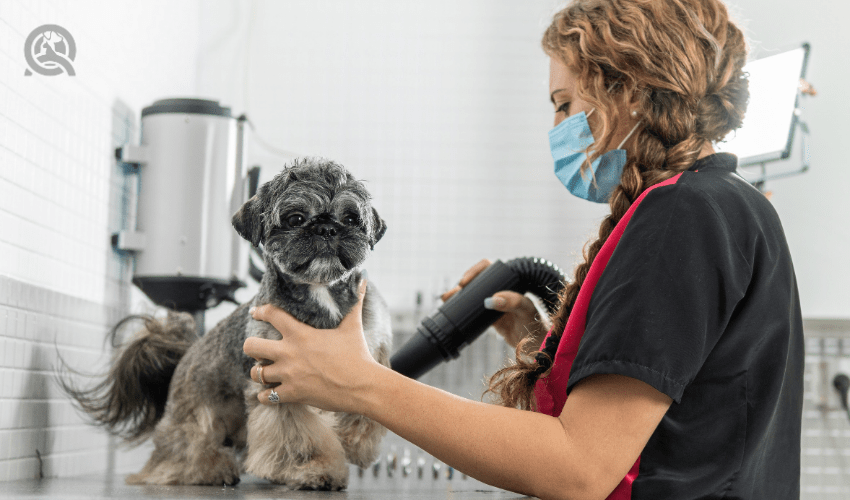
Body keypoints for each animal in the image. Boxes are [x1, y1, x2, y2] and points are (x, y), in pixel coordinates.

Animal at [61, 156, 392, 488]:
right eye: (296, 218)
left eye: (350, 218)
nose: (327, 228)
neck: (321, 294)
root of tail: (187, 352)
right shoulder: (279, 383)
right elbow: (295, 433)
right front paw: (312, 468)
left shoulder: (368, 353)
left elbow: (360, 408)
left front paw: (355, 444)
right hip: (196, 416)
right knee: (181, 450)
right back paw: (203, 470)